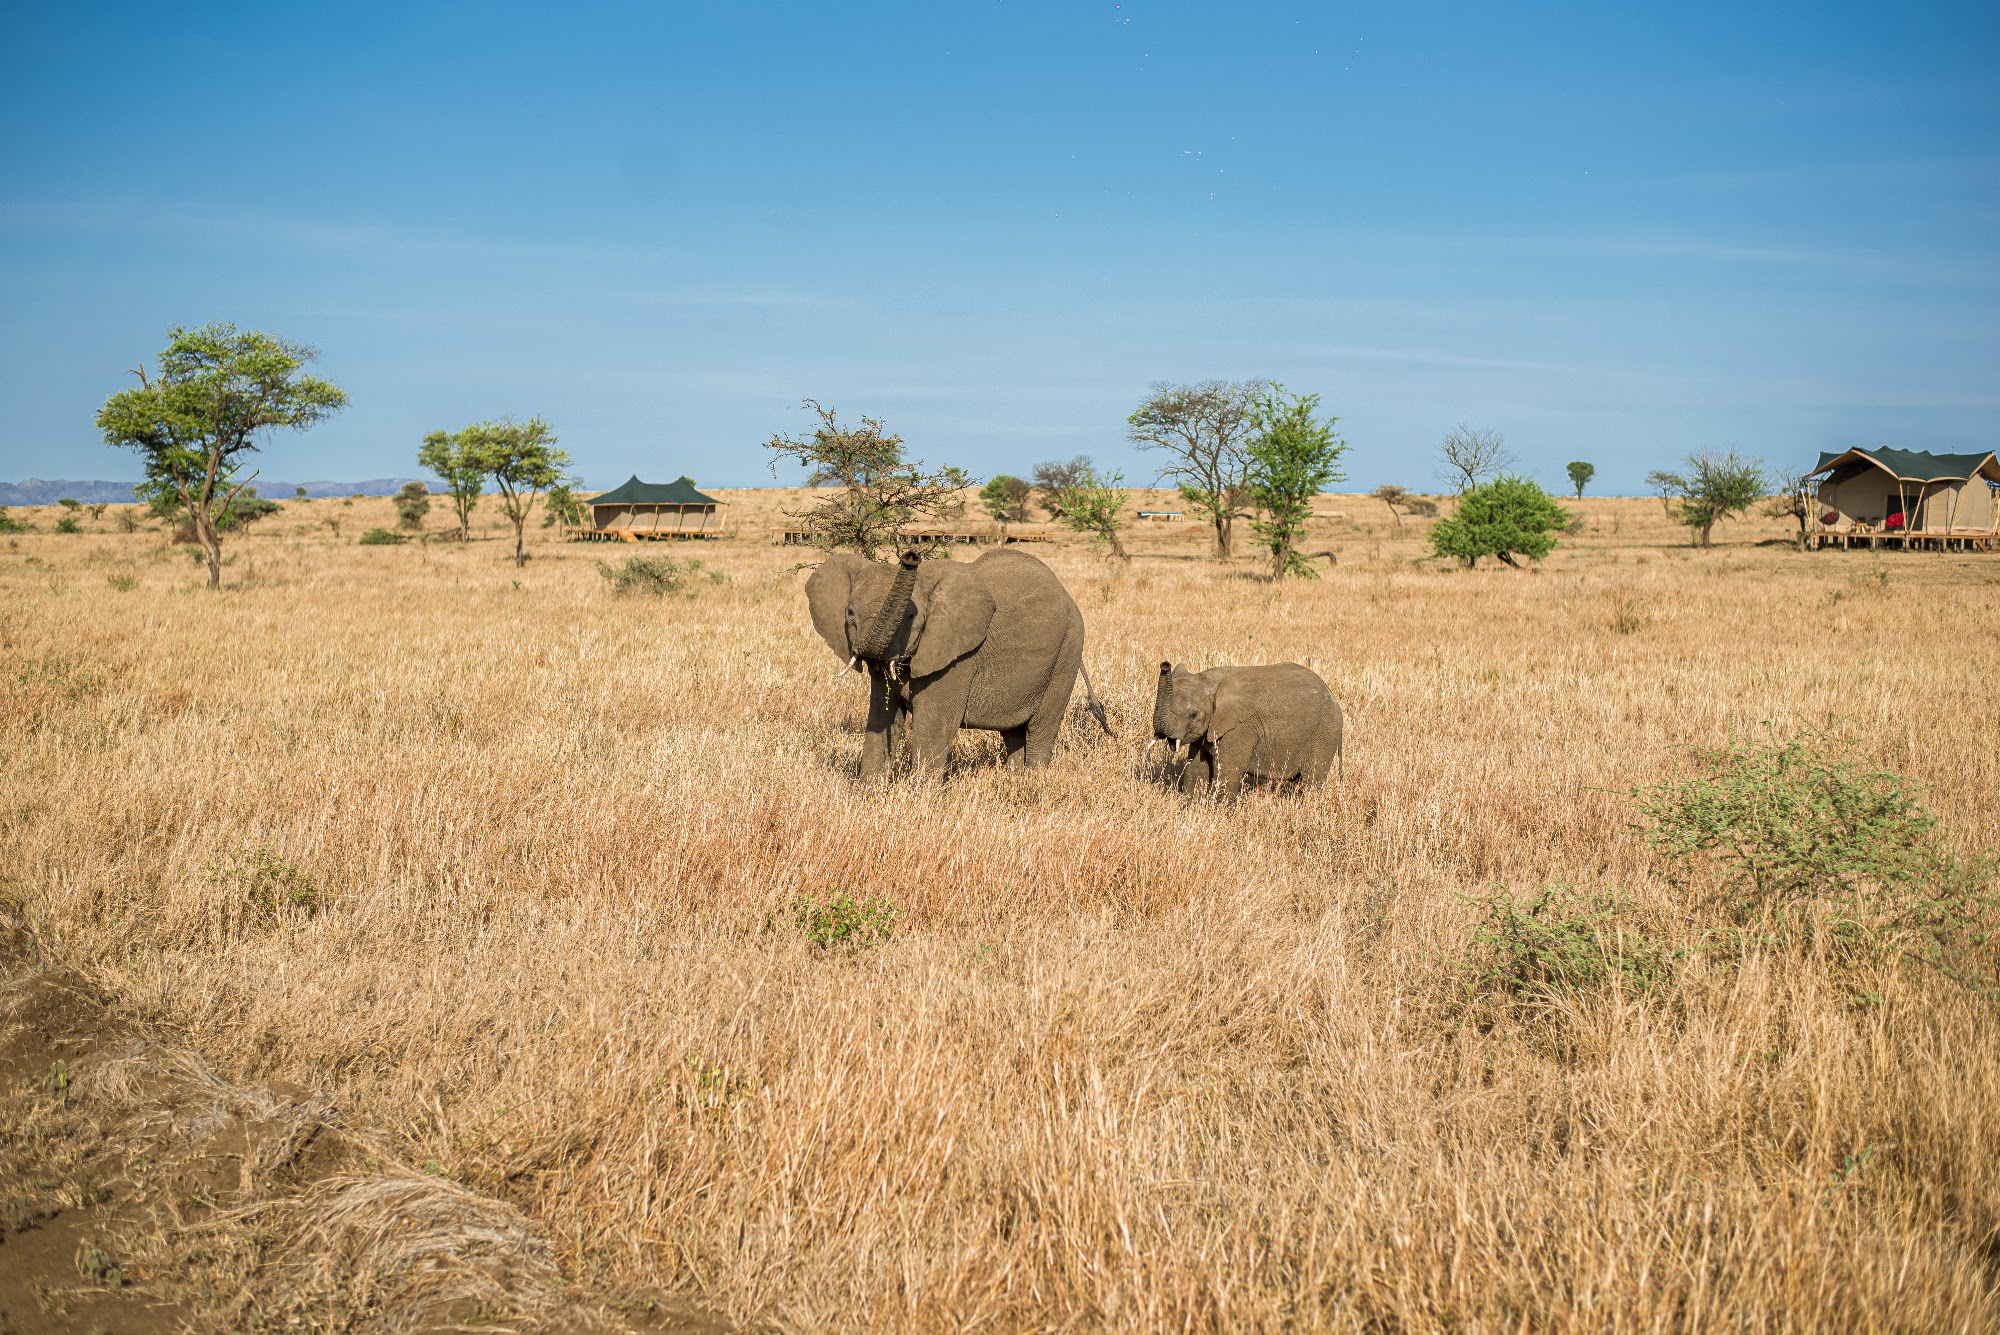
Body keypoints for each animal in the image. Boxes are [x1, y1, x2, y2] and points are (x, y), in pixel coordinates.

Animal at [806, 547, 1108, 776]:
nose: (911, 556)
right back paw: (1015, 779)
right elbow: (882, 715)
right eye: (850, 612)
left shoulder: (958, 658)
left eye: (911, 617)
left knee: (1040, 728)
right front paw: (869, 791)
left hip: (1067, 651)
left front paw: (919, 800)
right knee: (1013, 732)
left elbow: (934, 724)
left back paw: (1035, 780)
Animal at [1151, 660, 1343, 793]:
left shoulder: (1239, 728)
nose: (1165, 664)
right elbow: (1196, 769)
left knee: (1312, 780)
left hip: (1325, 733)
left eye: (1193, 715)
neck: (1209, 680)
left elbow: (1228, 772)